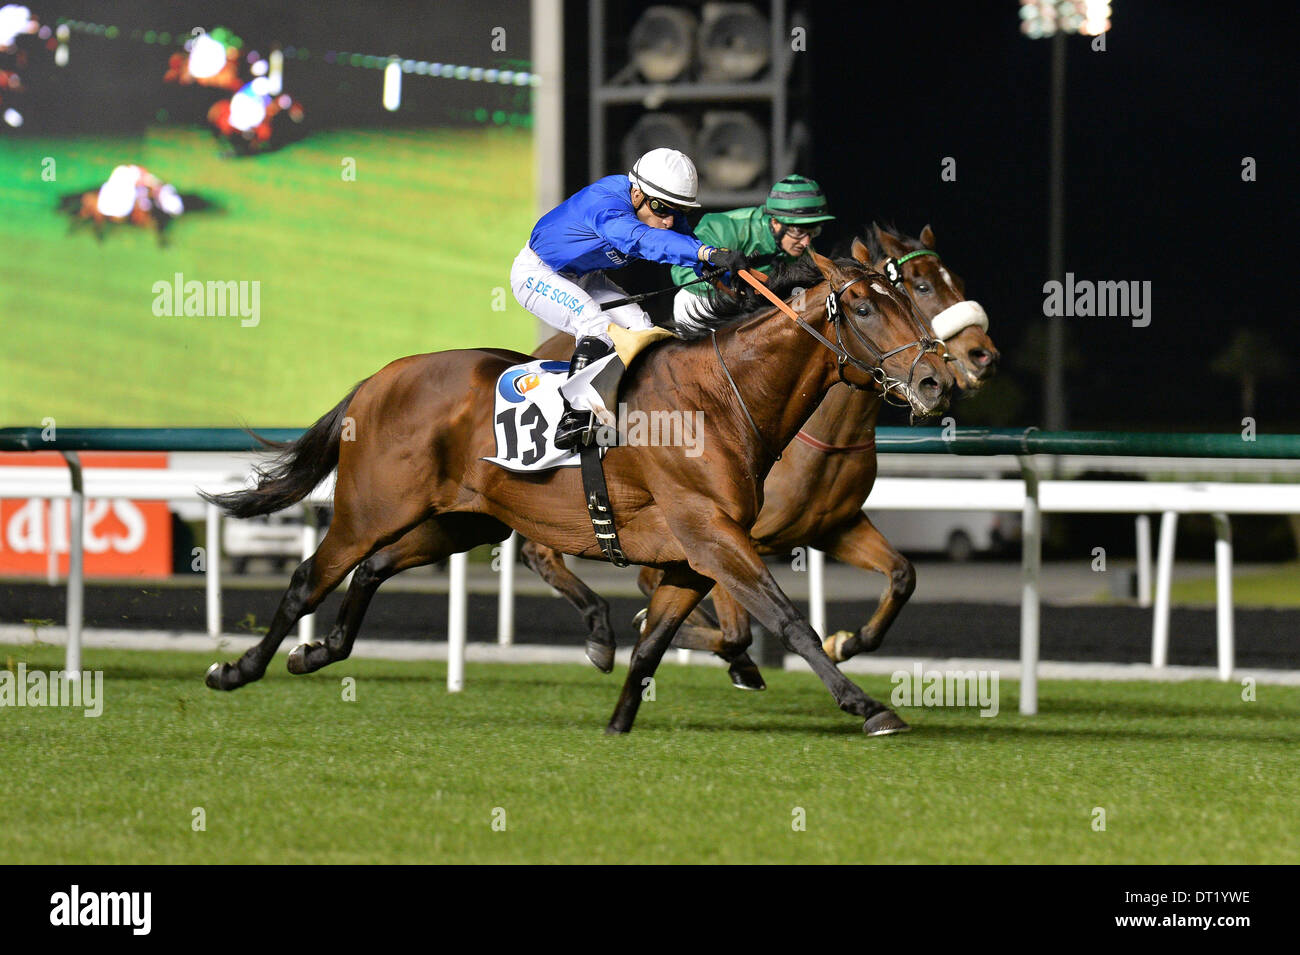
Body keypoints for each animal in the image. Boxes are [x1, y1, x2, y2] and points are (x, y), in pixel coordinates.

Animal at [202, 250, 956, 738]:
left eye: (909, 299)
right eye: (864, 306)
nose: (936, 381)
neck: (721, 398)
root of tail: (378, 378)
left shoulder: (692, 553)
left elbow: (656, 640)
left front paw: (619, 720)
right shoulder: (715, 536)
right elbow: (787, 620)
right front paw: (867, 705)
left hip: (465, 519)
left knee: (373, 568)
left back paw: (317, 651)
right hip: (372, 507)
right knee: (310, 576)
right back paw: (238, 669)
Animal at [527, 222, 1003, 686]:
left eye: (955, 281)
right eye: (921, 286)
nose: (979, 358)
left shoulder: (835, 525)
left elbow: (903, 575)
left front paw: (843, 642)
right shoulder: (719, 533)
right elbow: (730, 628)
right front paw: (673, 632)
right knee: (541, 552)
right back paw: (601, 631)